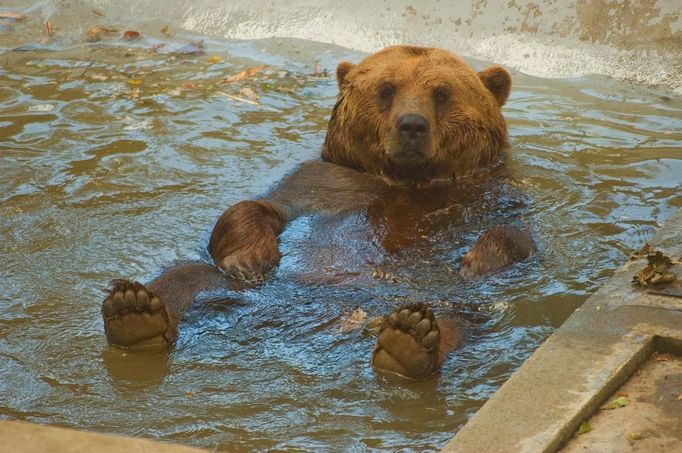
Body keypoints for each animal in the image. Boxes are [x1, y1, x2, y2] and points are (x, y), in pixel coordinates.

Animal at [102, 45, 536, 378]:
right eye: (387, 88)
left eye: (442, 92)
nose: (411, 125)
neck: (406, 181)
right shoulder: (325, 183)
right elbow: (260, 209)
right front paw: (251, 257)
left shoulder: (487, 194)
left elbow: (515, 235)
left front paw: (477, 260)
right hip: (237, 290)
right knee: (187, 278)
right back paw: (134, 312)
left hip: (446, 306)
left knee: (453, 318)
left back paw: (408, 343)